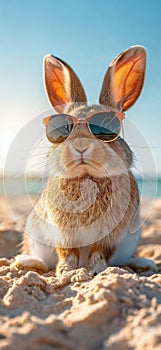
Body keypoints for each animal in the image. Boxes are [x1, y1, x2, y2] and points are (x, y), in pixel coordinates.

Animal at [13, 45, 158, 276]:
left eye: (109, 127)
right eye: (63, 129)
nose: (80, 146)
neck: (87, 177)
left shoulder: (110, 236)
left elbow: (100, 253)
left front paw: (97, 271)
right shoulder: (63, 234)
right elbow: (67, 253)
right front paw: (66, 271)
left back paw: (144, 263)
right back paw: (27, 262)